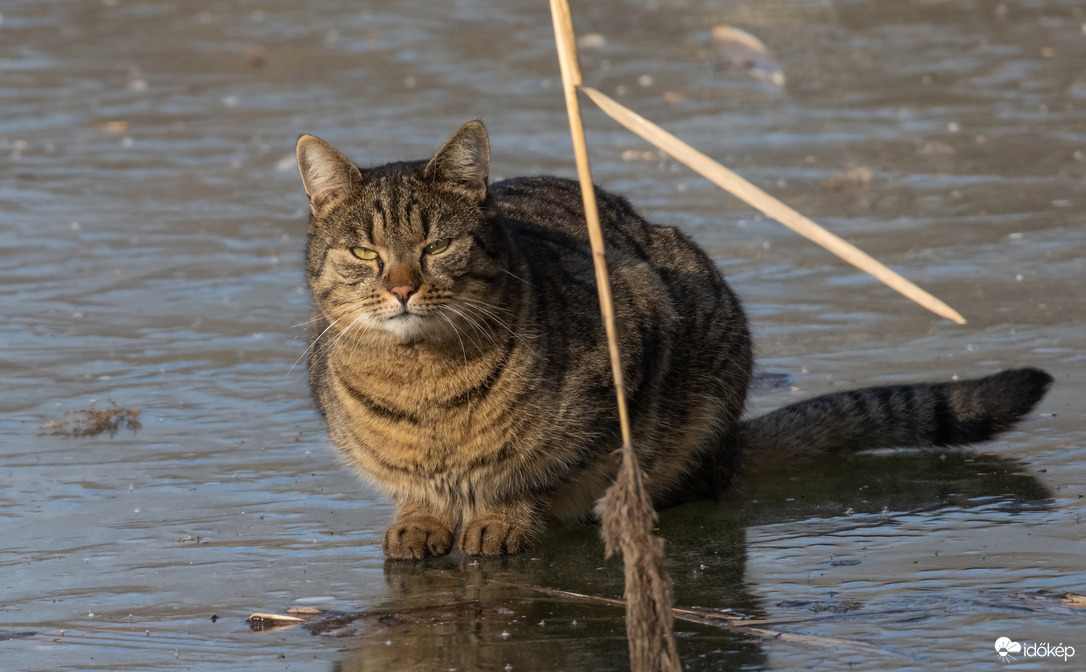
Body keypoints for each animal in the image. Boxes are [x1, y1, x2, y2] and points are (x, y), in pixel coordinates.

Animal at [297, 119, 1051, 555]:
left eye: (437, 245)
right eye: (364, 252)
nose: (401, 288)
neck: (422, 381)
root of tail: (730, 442)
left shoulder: (628, 357)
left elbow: (534, 469)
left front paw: (503, 516)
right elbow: (418, 491)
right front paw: (423, 518)